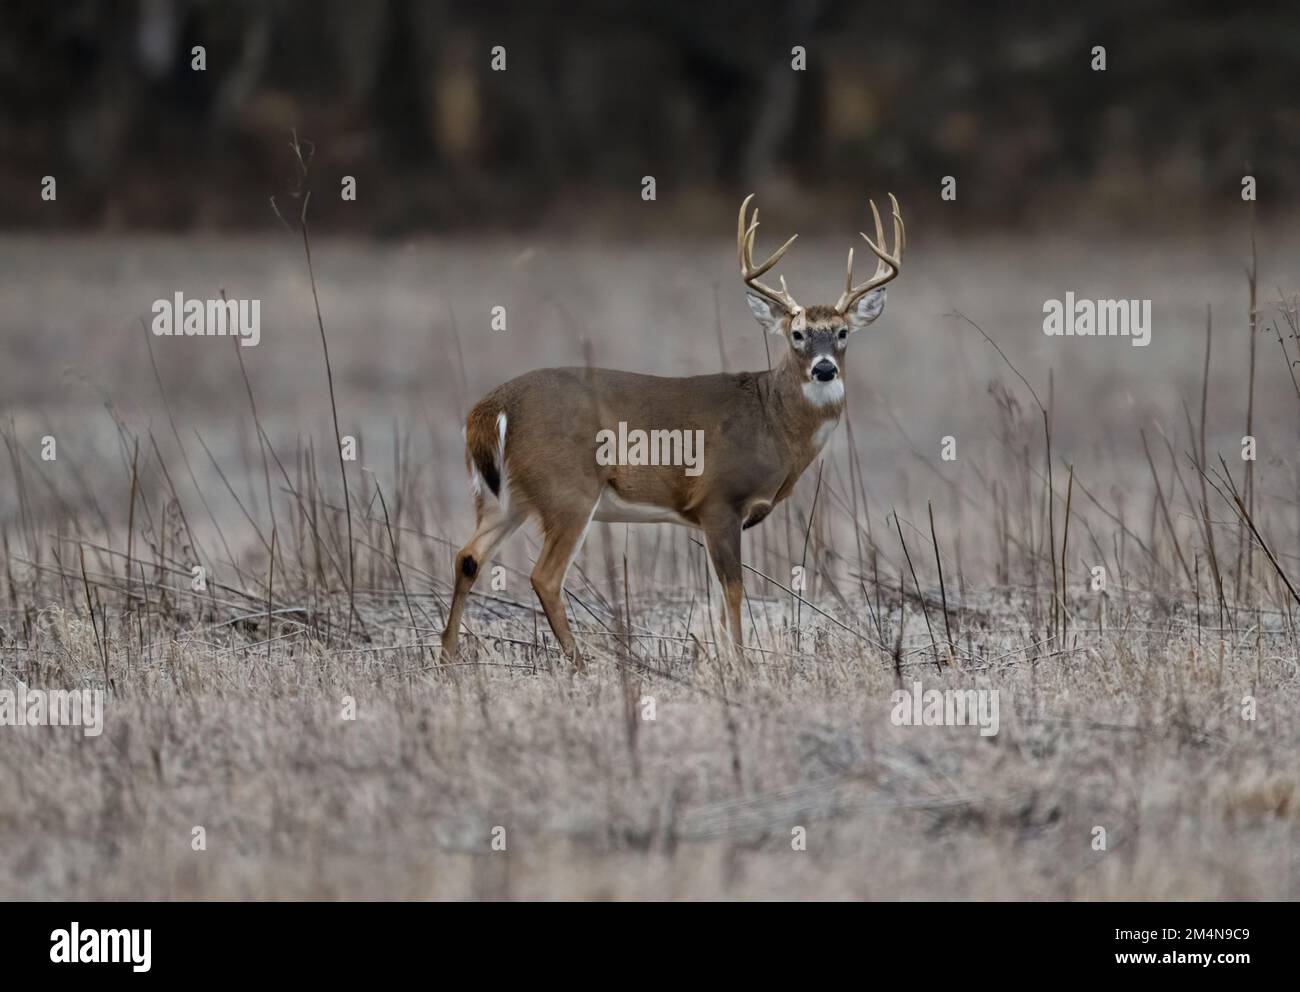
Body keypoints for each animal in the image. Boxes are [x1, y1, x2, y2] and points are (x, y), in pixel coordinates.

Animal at [439, 192, 904, 665]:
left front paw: (722, 658)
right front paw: (742, 662)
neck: (772, 421)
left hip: (502, 497)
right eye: (797, 334)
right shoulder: (720, 500)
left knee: (468, 556)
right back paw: (581, 663)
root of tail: (491, 408)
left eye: (842, 332)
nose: (824, 368)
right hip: (567, 490)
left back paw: (450, 656)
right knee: (544, 577)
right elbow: (734, 590)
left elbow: (718, 596)